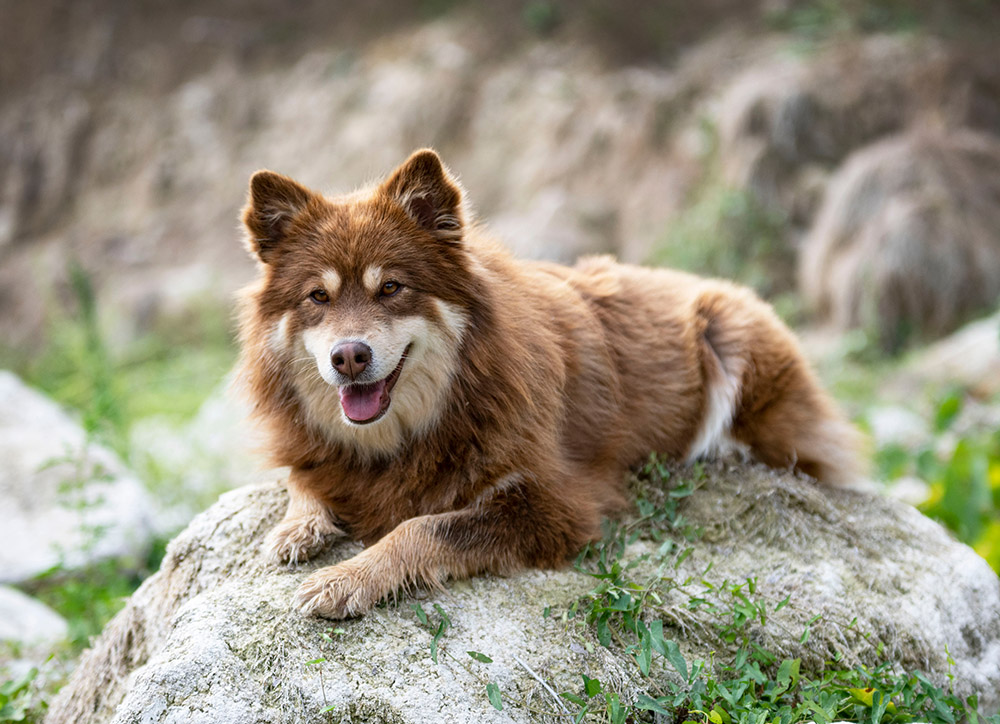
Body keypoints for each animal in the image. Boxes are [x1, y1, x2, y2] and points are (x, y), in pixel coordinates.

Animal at [234, 150, 860, 620]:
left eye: (391, 288)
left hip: (729, 332)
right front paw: (297, 528)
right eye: (318, 296)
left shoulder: (554, 506)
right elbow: (303, 478)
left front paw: (347, 577)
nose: (348, 357)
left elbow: (425, 528)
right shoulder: (319, 453)